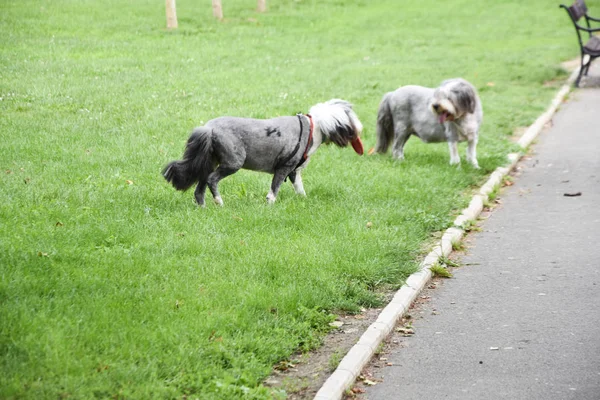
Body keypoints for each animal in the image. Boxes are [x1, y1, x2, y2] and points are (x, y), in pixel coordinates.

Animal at [162, 99, 364, 206]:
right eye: (352, 119)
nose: (361, 128)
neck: (314, 127)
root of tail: (208, 128)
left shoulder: (294, 171)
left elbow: (300, 188)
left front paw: (303, 201)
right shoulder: (284, 167)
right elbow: (274, 188)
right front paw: (270, 204)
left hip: (209, 162)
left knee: (200, 187)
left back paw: (203, 206)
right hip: (233, 162)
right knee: (212, 180)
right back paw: (219, 202)